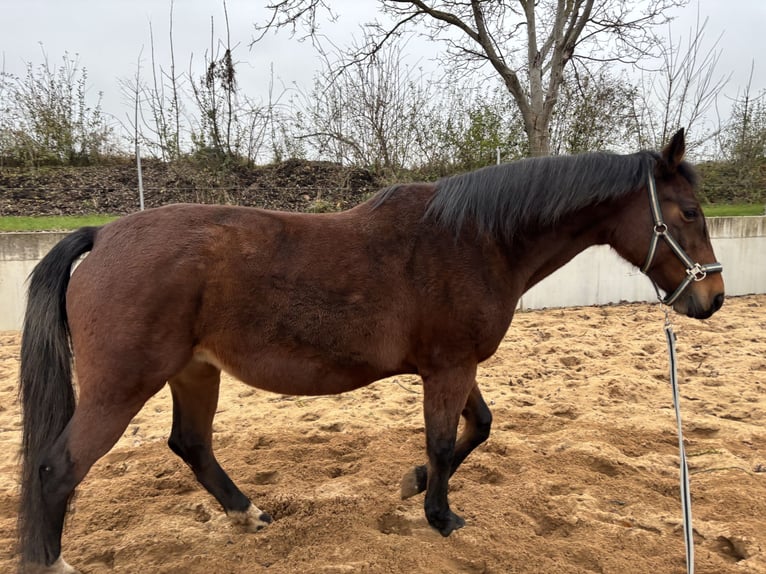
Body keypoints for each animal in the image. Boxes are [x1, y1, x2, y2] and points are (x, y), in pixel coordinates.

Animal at [16, 128, 728, 572]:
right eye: (689, 211)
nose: (712, 296)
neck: (475, 240)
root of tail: (103, 235)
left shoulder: (454, 364)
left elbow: (478, 426)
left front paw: (413, 484)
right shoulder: (448, 366)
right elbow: (445, 439)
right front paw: (441, 514)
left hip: (195, 372)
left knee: (190, 445)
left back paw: (249, 516)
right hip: (122, 385)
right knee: (56, 469)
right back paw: (55, 561)